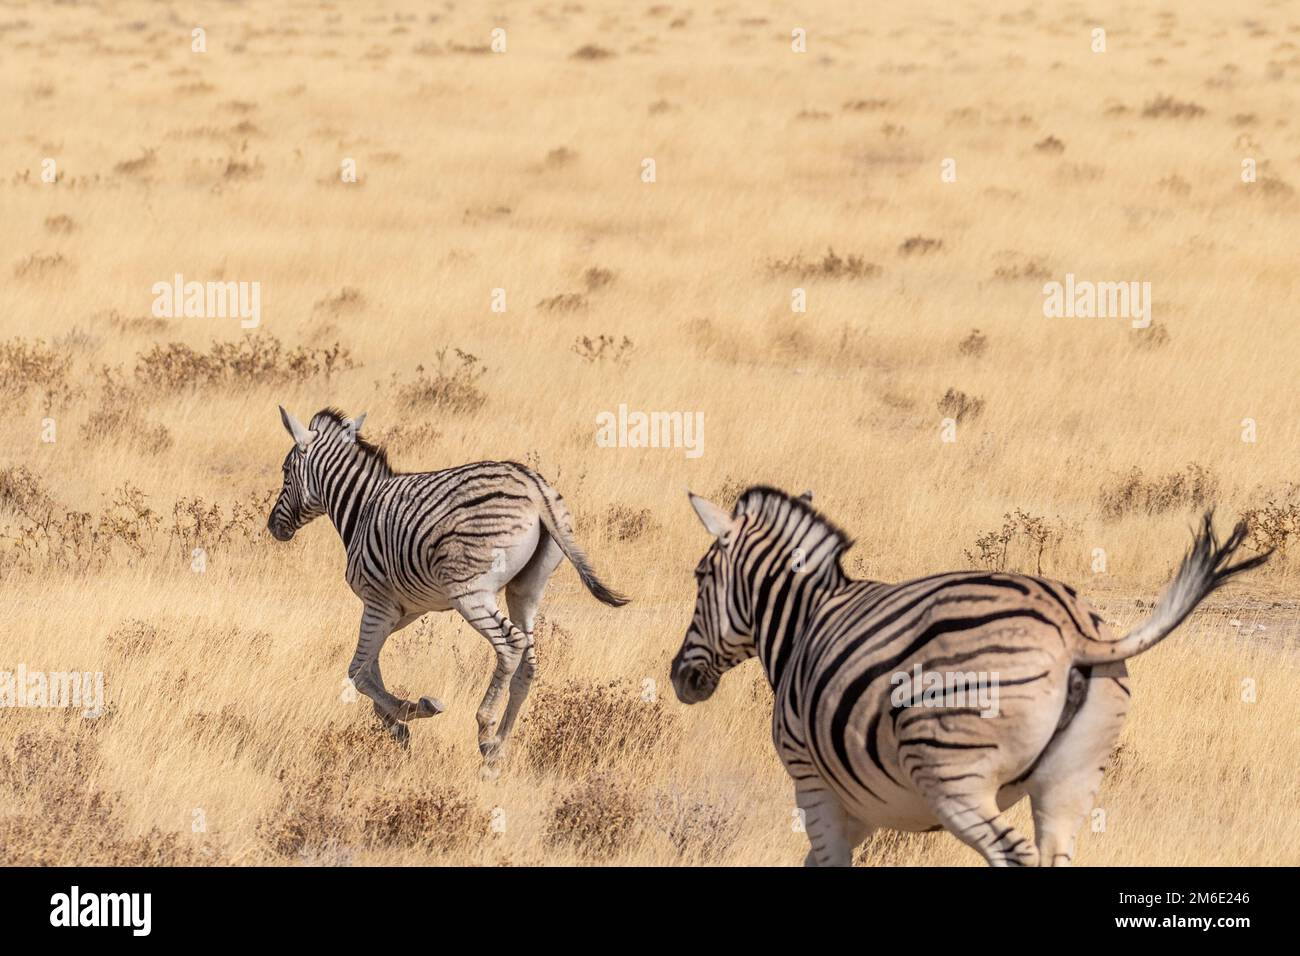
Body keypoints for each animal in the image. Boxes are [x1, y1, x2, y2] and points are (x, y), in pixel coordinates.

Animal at [267, 406, 628, 767]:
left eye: (285, 471)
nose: (272, 527)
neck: (362, 508)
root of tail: (534, 487)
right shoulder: (402, 610)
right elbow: (371, 668)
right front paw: (396, 725)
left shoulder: (377, 602)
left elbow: (358, 672)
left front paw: (411, 711)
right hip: (526, 589)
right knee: (528, 663)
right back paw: (498, 747)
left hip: (470, 592)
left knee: (510, 644)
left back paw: (485, 731)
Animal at [670, 486, 1269, 866]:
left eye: (699, 576)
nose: (678, 677)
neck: (804, 620)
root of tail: (1074, 628)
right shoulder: (863, 803)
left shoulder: (812, 781)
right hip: (1074, 776)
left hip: (952, 772)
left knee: (1012, 855)